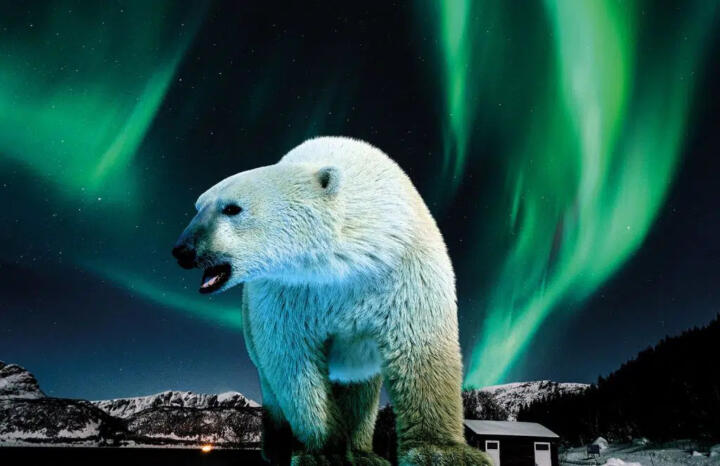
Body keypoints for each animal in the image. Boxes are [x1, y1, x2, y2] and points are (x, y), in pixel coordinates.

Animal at [172, 136, 490, 466]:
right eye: (198, 207)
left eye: (232, 208)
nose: (183, 249)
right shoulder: (289, 293)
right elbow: (294, 361)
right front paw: (326, 452)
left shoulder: (403, 270)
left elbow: (419, 349)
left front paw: (444, 452)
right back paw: (279, 449)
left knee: (359, 384)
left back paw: (363, 452)